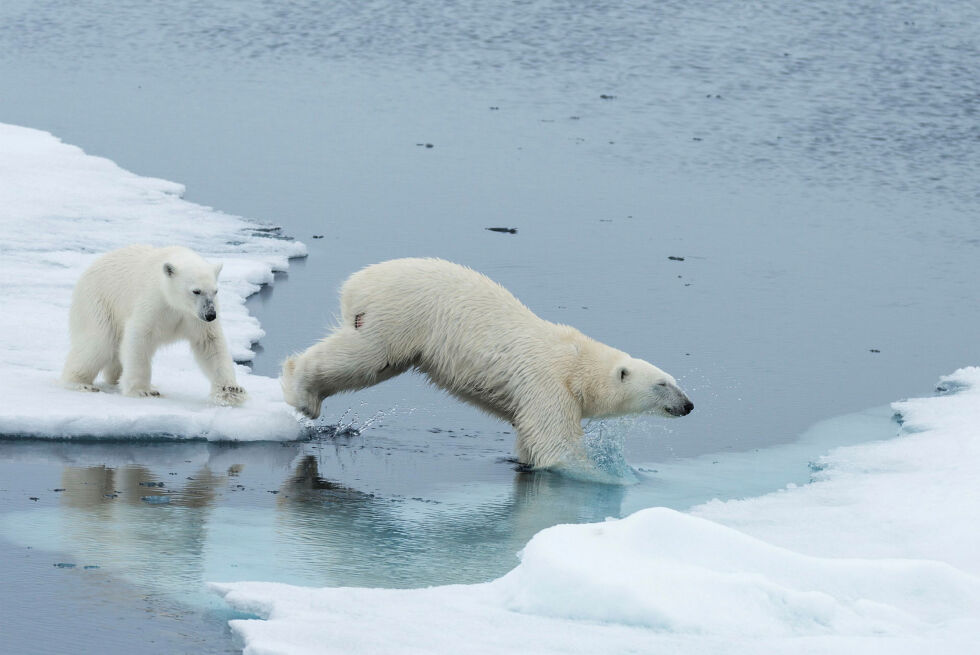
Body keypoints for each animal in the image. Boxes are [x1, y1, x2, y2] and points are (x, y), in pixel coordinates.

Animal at [61, 246, 247, 404]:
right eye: (196, 291)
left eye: (215, 291)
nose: (210, 315)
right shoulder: (152, 301)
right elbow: (139, 336)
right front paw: (142, 390)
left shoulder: (193, 317)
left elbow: (210, 343)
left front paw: (230, 390)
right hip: (98, 303)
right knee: (99, 343)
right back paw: (79, 383)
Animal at [284, 258, 692, 468]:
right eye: (662, 384)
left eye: (675, 380)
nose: (688, 405)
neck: (576, 363)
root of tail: (357, 282)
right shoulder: (547, 385)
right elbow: (555, 442)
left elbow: (530, 440)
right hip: (400, 317)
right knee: (366, 359)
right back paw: (302, 393)